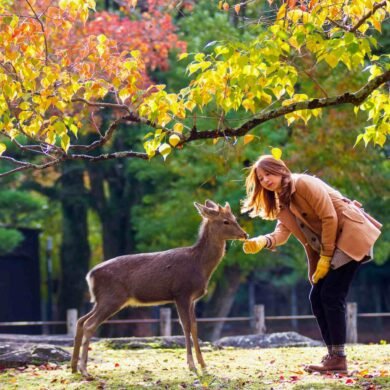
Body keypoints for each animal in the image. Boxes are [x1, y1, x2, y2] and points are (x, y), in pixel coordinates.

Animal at [71, 200, 247, 376]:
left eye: (235, 218)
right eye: (225, 221)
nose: (244, 234)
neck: (200, 265)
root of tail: (90, 275)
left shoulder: (193, 299)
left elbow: (195, 327)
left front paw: (204, 365)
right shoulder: (181, 293)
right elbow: (186, 326)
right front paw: (192, 365)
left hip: (101, 300)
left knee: (80, 320)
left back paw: (74, 367)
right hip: (112, 298)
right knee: (89, 324)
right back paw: (84, 370)